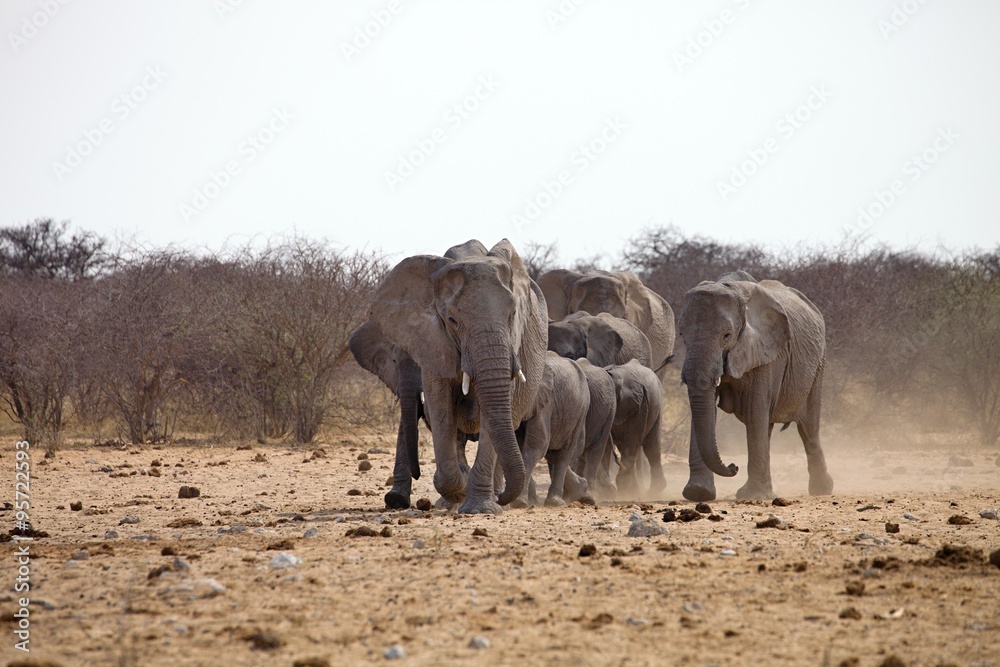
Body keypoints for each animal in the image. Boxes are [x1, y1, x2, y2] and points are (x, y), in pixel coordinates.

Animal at [368, 239, 548, 515]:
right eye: (452, 320)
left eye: (513, 315)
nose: (503, 498)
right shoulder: (432, 342)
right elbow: (441, 409)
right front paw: (459, 490)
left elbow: (494, 413)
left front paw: (481, 508)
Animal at [515, 352, 590, 507]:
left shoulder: (545, 401)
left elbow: (537, 446)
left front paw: (519, 502)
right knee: (553, 452)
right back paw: (581, 490)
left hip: (581, 410)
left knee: (564, 453)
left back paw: (555, 502)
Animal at [605, 360, 665, 498]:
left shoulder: (640, 405)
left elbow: (630, 441)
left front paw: (623, 489)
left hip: (656, 406)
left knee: (651, 447)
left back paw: (654, 491)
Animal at [678, 271, 834, 501]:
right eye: (681, 335)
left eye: (727, 335)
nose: (733, 466)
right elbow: (708, 410)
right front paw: (699, 493)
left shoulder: (768, 352)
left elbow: (755, 409)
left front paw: (754, 496)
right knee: (768, 425)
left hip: (819, 363)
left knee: (808, 427)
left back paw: (821, 490)